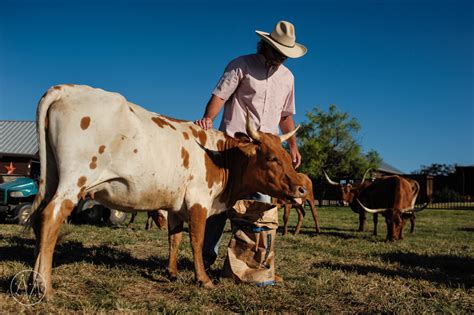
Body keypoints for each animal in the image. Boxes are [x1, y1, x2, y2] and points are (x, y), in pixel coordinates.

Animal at [28, 84, 308, 298]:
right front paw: (203, 279)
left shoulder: (175, 206)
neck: (221, 157)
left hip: (52, 177)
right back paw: (45, 287)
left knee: (40, 218)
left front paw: (171, 272)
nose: (301, 188)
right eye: (271, 158)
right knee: (51, 217)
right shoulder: (198, 201)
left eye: (287, 156)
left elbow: (175, 238)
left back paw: (32, 281)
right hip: (75, 179)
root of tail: (67, 88)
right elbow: (197, 240)